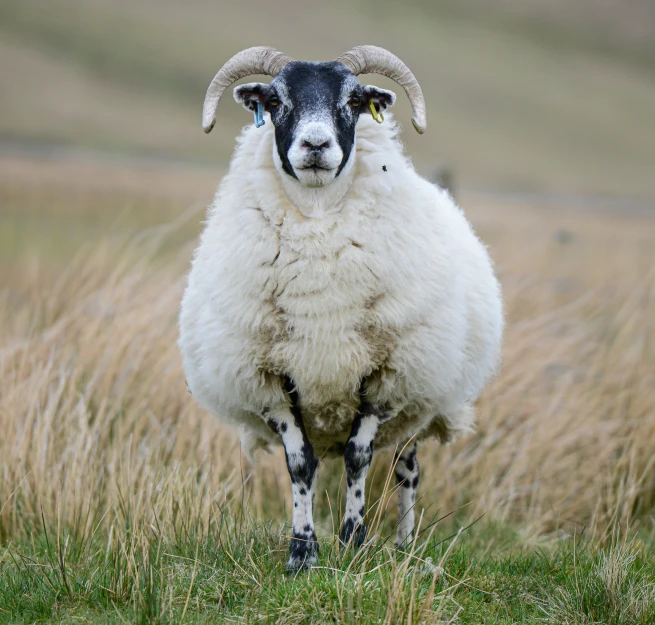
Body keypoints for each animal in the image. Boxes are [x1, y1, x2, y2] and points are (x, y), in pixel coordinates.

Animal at [177, 46, 504, 568]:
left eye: (353, 101)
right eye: (274, 100)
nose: (315, 145)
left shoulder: (384, 375)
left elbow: (358, 458)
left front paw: (353, 541)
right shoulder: (271, 379)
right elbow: (300, 464)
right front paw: (302, 552)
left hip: (417, 399)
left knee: (406, 471)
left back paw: (403, 546)